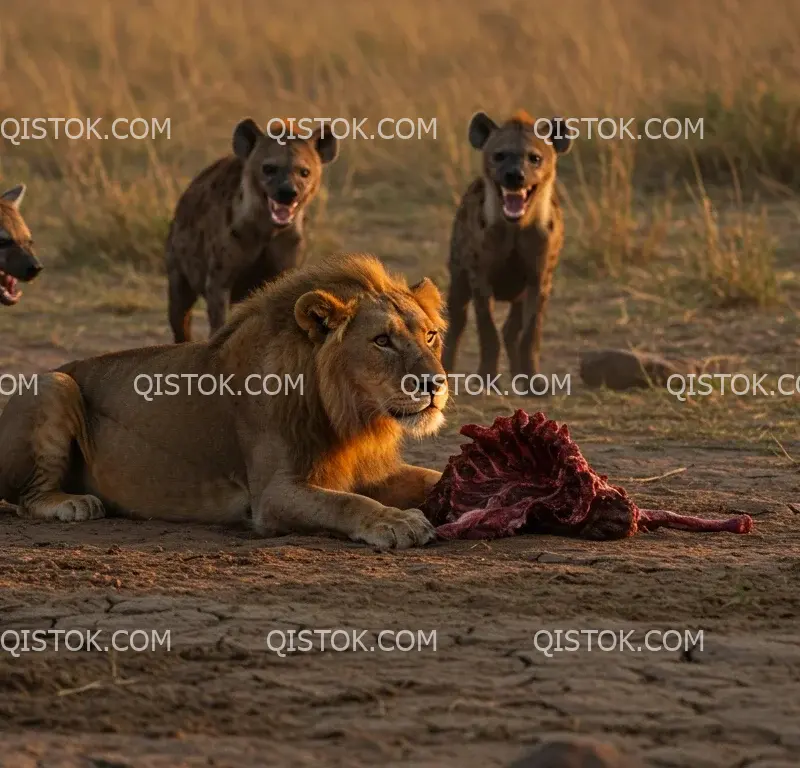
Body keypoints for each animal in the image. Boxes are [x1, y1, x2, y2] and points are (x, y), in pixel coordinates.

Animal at [0, 255, 450, 548]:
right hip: (54, 383)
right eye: (382, 341)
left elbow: (430, 478)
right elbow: (345, 502)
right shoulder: (271, 495)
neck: (354, 417)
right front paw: (397, 521)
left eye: (430, 335)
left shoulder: (372, 470)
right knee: (27, 499)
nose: (435, 384)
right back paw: (73, 503)